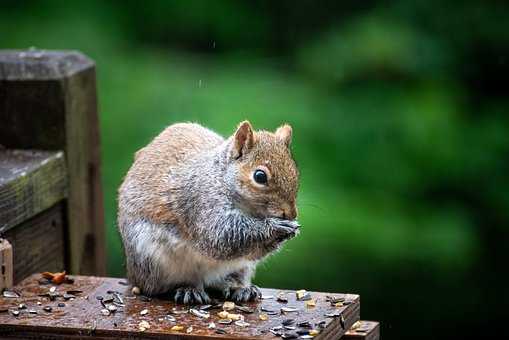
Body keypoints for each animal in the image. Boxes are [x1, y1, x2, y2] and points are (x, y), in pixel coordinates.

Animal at [117, 121, 300, 304]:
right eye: (260, 176)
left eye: (295, 173)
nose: (290, 214)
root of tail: (132, 274)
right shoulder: (201, 203)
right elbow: (221, 236)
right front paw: (275, 227)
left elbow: (252, 251)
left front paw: (291, 229)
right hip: (153, 262)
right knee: (158, 287)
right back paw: (188, 290)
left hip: (241, 267)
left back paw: (241, 288)